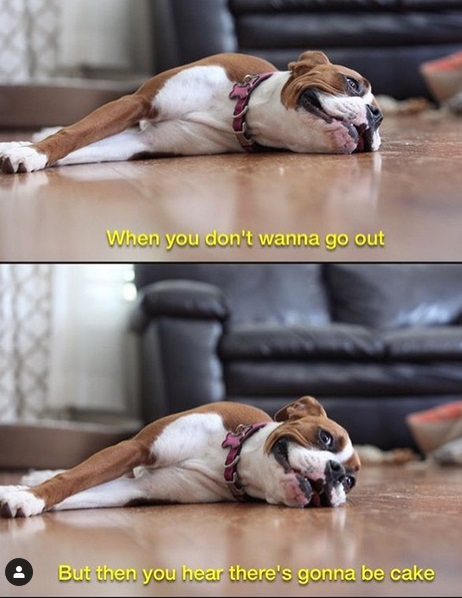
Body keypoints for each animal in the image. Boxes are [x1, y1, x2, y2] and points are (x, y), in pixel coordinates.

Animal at [0, 50, 382, 175]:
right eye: (352, 83)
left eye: (378, 113)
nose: (376, 115)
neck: (240, 109)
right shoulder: (137, 102)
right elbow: (73, 134)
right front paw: (32, 153)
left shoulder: (139, 142)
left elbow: (82, 148)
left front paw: (28, 154)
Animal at [0, 396, 360, 516]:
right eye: (325, 437)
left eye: (350, 482)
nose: (336, 472)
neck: (231, 459)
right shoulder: (135, 449)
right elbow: (69, 480)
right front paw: (30, 496)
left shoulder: (132, 490)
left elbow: (77, 494)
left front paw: (23, 497)